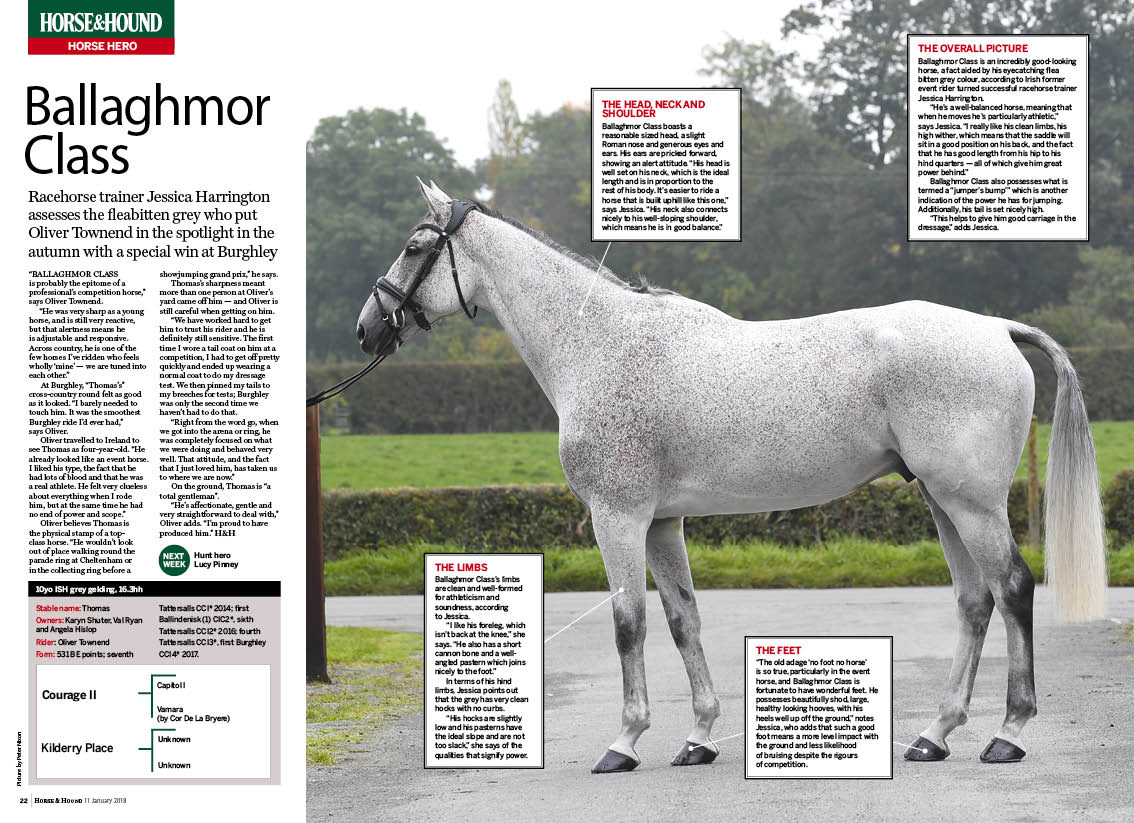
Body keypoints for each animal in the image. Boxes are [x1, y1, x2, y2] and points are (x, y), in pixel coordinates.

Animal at [355, 180, 1108, 773]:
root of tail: (996, 329)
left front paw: (625, 741)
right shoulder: (662, 521)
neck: (598, 344)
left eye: (416, 247)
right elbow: (682, 618)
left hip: (971, 503)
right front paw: (698, 737)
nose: (368, 327)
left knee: (1012, 589)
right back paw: (935, 734)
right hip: (943, 502)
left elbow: (629, 622)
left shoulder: (618, 517)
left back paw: (1008, 733)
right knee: (975, 601)